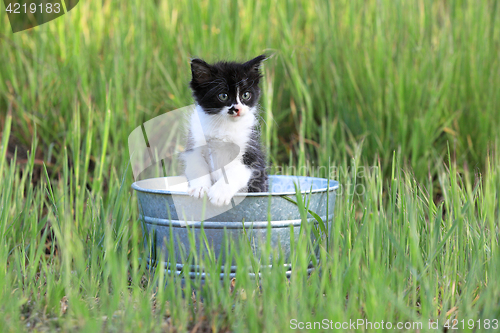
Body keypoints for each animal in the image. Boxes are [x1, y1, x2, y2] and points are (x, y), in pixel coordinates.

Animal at [184, 54, 270, 205]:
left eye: (246, 95)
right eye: (223, 96)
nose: (237, 109)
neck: (224, 125)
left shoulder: (251, 155)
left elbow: (235, 171)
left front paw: (219, 193)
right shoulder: (194, 141)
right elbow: (197, 164)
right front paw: (200, 188)